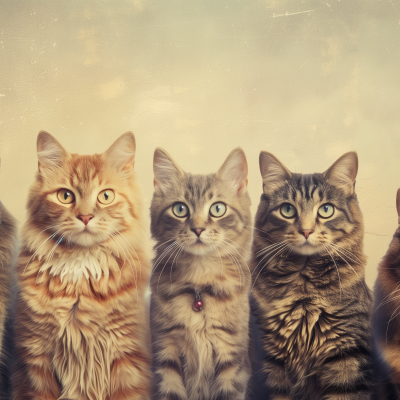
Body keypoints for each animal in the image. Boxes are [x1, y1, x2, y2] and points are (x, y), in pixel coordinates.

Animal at [150, 147, 253, 400]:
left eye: (218, 208)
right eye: (180, 209)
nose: (197, 229)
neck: (198, 283)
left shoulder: (231, 358)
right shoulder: (166, 352)